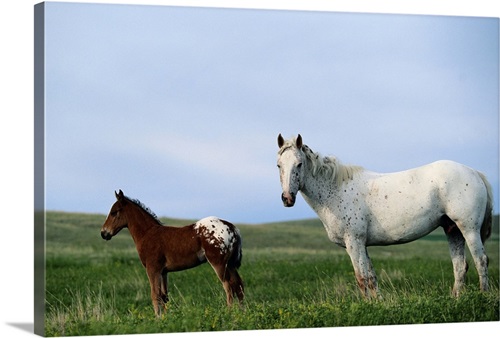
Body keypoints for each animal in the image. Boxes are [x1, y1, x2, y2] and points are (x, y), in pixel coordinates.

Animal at [278, 133, 492, 298]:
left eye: (299, 164)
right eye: (279, 165)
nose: (287, 198)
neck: (336, 190)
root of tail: (474, 172)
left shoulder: (354, 242)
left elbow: (362, 278)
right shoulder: (362, 244)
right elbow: (371, 278)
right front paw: (378, 303)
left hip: (469, 229)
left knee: (481, 261)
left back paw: (484, 296)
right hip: (452, 230)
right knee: (460, 266)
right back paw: (456, 298)